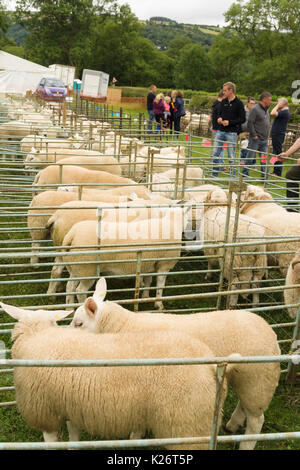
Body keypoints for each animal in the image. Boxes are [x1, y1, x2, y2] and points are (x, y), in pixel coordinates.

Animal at [0, 302, 225, 452]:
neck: (38, 335)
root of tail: (212, 365)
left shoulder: (43, 410)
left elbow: (51, 442)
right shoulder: (68, 403)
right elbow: (73, 435)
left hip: (187, 425)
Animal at [71, 276, 282, 452]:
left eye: (79, 324)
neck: (120, 327)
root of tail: (272, 335)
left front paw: (135, 436)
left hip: (257, 380)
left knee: (256, 420)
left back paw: (245, 444)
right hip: (246, 379)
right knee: (244, 406)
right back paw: (231, 425)